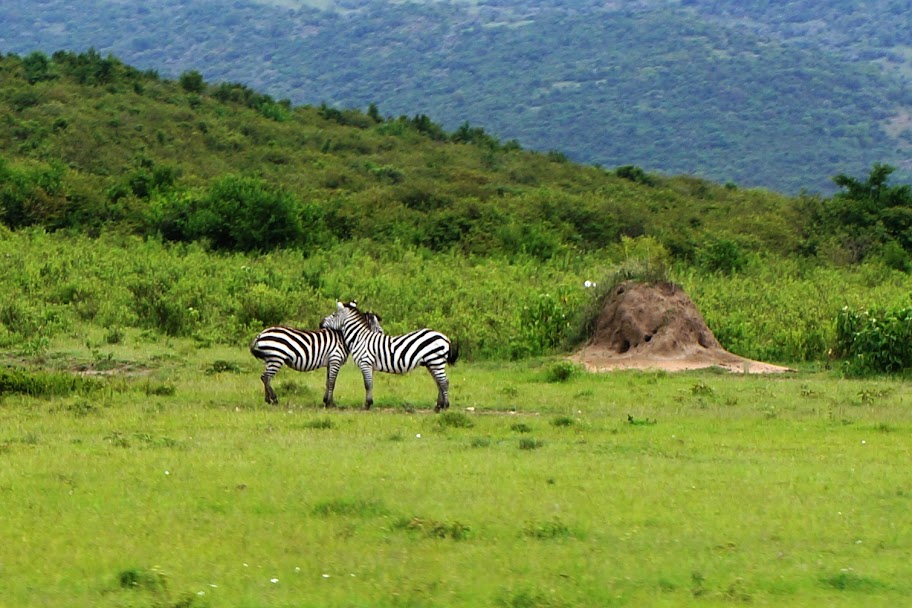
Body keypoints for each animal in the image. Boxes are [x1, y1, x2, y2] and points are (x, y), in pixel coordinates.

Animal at [248, 306, 382, 406]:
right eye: (379, 330)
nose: (381, 336)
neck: (342, 338)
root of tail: (261, 333)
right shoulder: (335, 360)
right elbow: (332, 382)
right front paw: (330, 404)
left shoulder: (330, 363)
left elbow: (328, 382)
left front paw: (327, 401)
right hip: (276, 358)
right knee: (266, 377)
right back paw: (274, 399)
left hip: (270, 359)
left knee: (265, 378)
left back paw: (268, 399)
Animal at [320, 300, 460, 414]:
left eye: (333, 314)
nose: (320, 323)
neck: (360, 338)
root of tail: (445, 337)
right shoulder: (370, 365)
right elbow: (370, 384)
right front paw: (370, 402)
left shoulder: (365, 363)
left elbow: (367, 384)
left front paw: (367, 405)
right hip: (431, 363)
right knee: (440, 382)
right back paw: (438, 406)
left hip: (436, 361)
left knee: (444, 382)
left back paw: (445, 406)